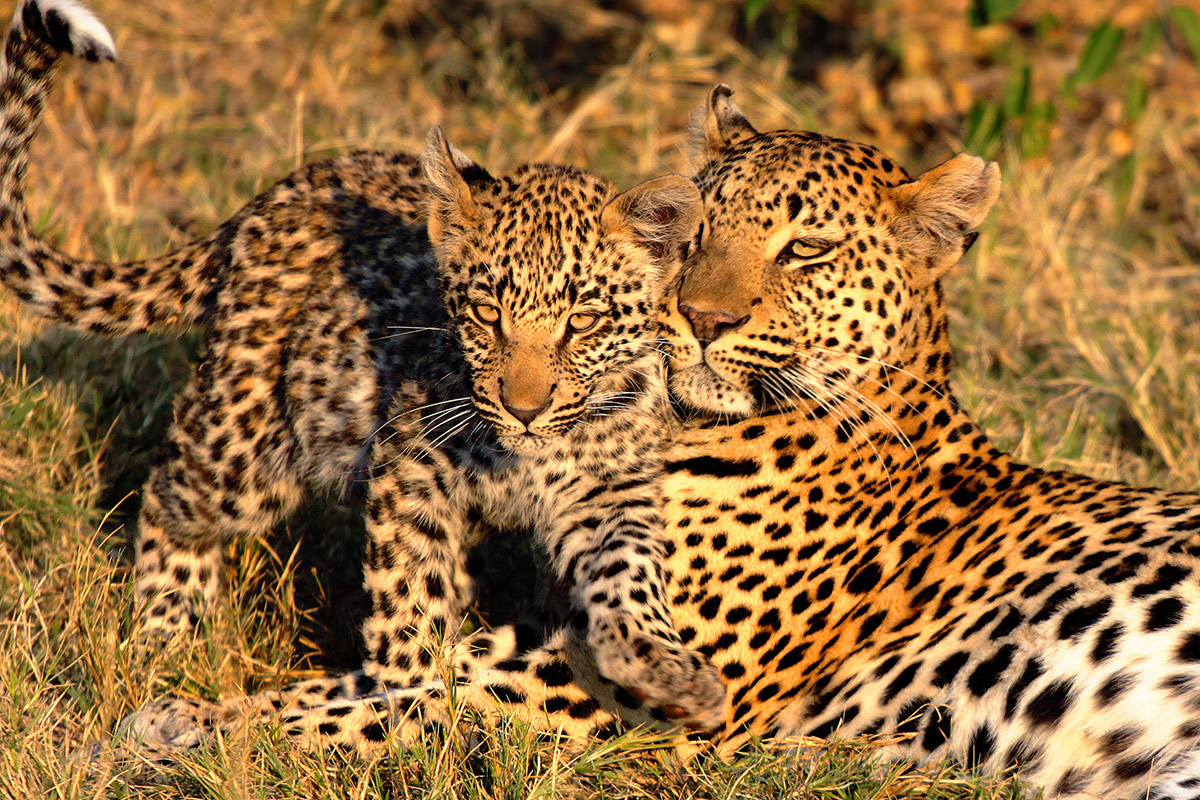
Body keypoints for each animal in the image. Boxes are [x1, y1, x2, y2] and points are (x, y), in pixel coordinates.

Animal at [124, 87, 1200, 800]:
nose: (701, 317)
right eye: (691, 231)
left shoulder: (577, 687)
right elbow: (386, 675)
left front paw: (177, 724)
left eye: (806, 249)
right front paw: (183, 711)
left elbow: (379, 696)